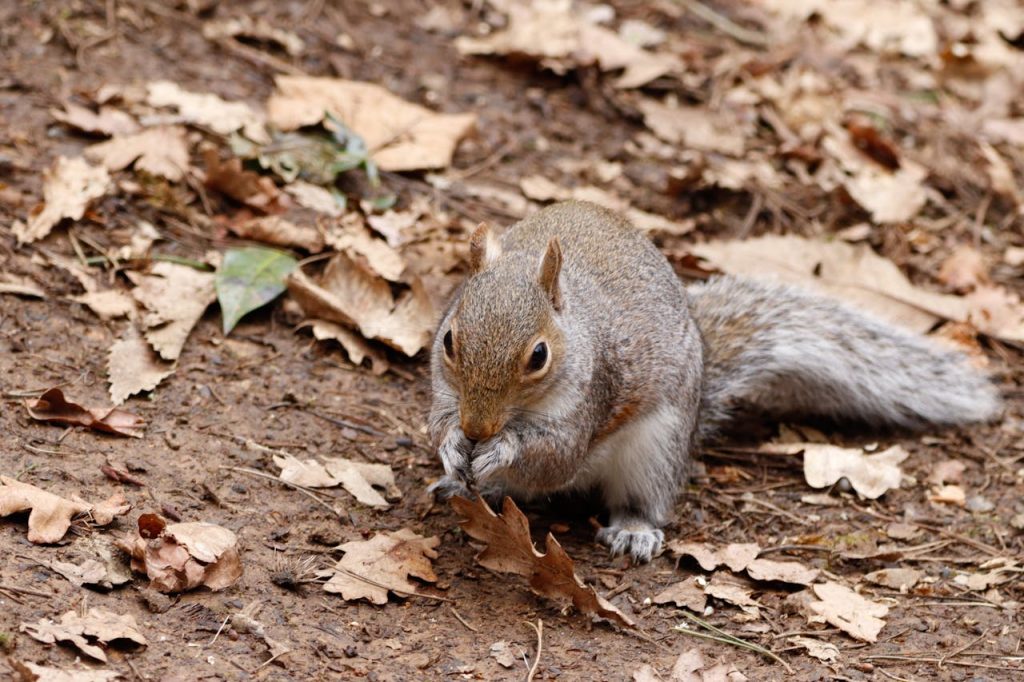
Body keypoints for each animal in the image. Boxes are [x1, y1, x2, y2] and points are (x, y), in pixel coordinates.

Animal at [428, 201, 1001, 562]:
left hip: (657, 450)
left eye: (539, 356)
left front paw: (503, 448)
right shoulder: (442, 390)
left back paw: (634, 531)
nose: (478, 429)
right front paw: (454, 445)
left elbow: (556, 457)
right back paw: (466, 483)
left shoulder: (590, 398)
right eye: (449, 339)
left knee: (641, 499)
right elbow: (437, 423)